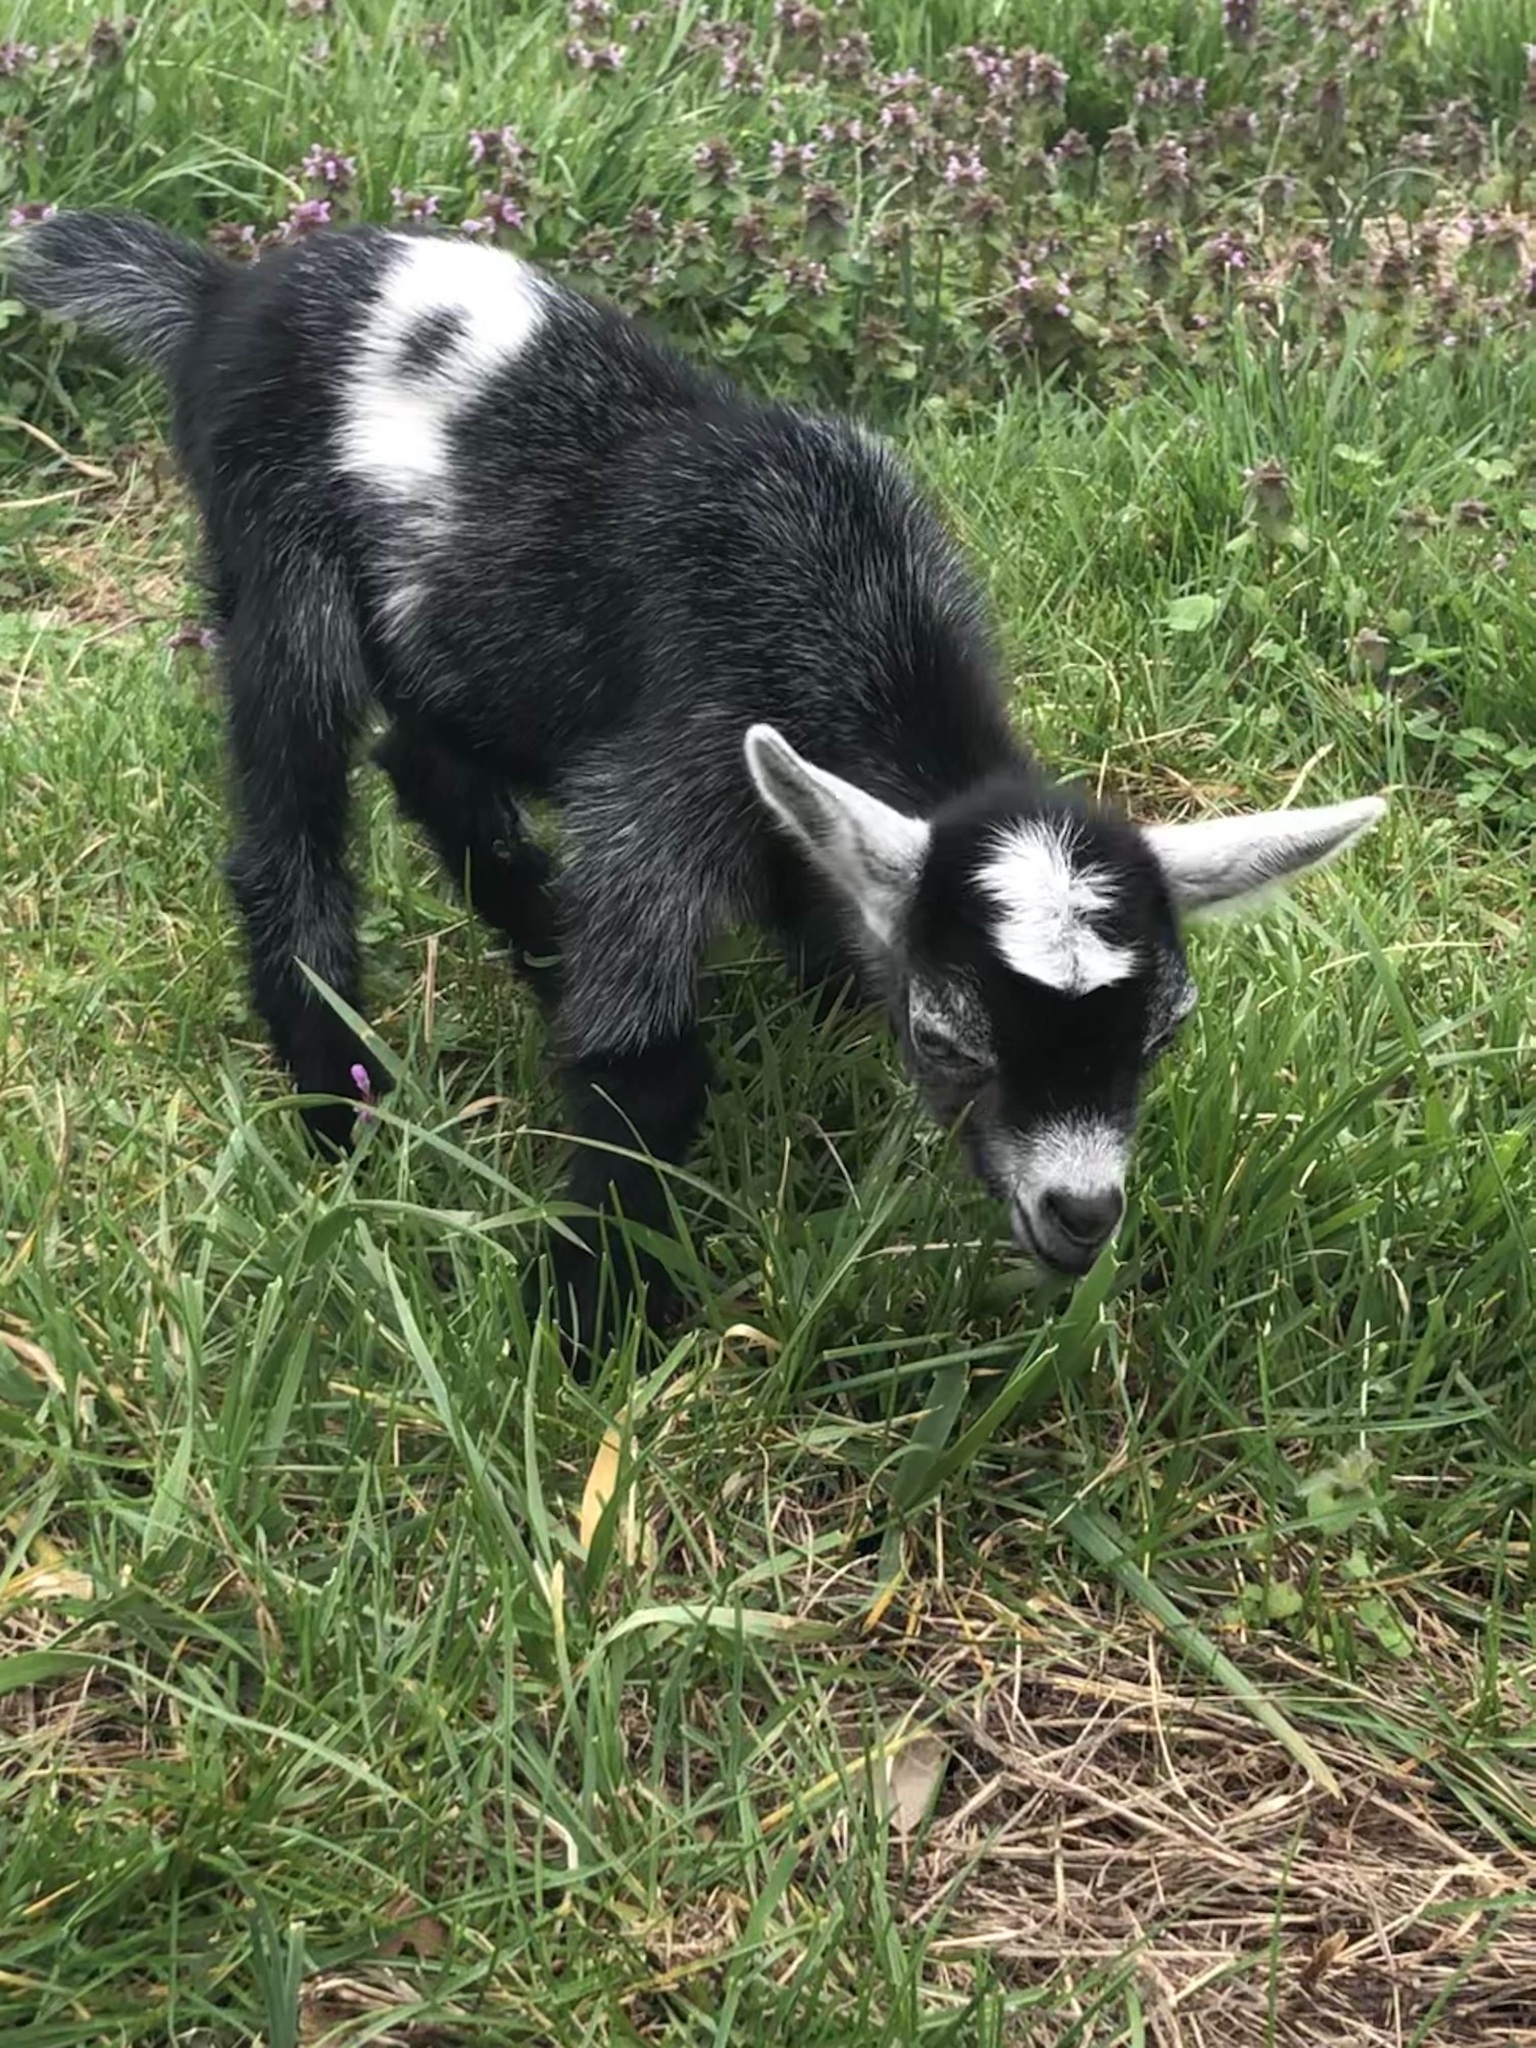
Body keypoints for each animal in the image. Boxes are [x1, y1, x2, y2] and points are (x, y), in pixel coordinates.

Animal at [11, 211, 1387, 1360]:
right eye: (949, 1036)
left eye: (1163, 1035)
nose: (1081, 1213)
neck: (850, 611)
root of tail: (223, 295)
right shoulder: (675, 775)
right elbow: (645, 1049)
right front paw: (590, 1327)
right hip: (273, 550)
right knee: (290, 814)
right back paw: (342, 1105)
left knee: (425, 755)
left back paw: (530, 945)